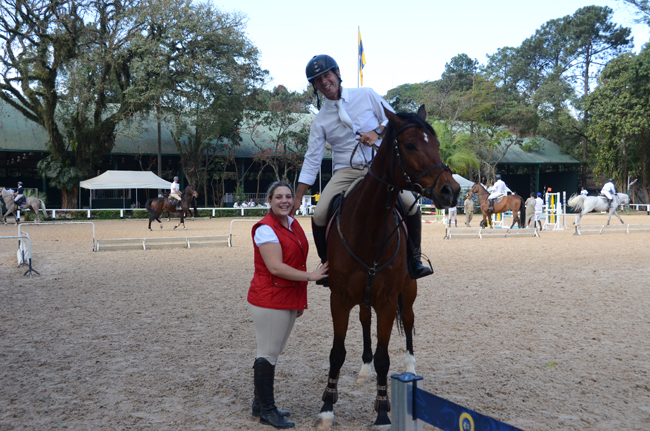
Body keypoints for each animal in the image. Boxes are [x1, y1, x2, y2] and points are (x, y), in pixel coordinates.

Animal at [317, 105, 460, 428]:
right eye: (410, 145)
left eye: (436, 144)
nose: (452, 190)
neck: (368, 228)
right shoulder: (339, 299)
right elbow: (336, 353)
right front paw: (327, 407)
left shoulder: (386, 300)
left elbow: (385, 357)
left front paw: (383, 411)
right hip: (363, 298)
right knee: (364, 322)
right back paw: (364, 369)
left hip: (408, 290)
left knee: (408, 321)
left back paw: (410, 366)